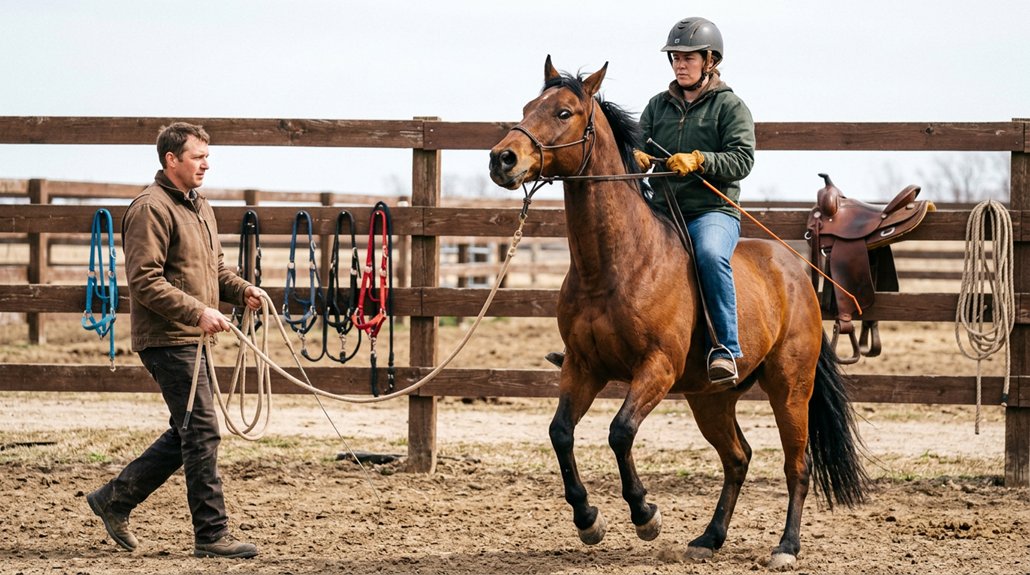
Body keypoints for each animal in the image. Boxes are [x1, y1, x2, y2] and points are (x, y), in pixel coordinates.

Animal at [488, 56, 867, 569]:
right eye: (529, 106)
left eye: (564, 112)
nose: (502, 159)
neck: (615, 265)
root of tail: (796, 271)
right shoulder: (582, 368)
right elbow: (561, 432)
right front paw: (588, 520)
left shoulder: (657, 369)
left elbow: (620, 431)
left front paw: (645, 514)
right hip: (710, 398)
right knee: (737, 458)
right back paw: (709, 537)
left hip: (790, 389)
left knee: (797, 465)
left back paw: (786, 547)